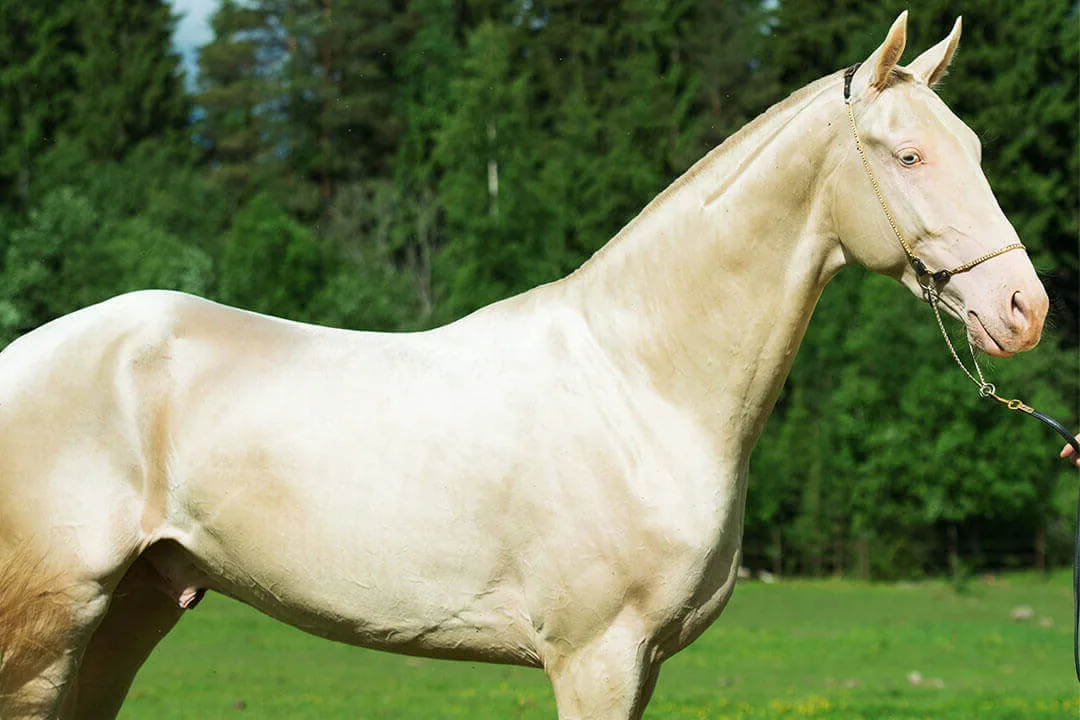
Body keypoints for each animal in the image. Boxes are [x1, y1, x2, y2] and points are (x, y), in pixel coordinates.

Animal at [0, 12, 1049, 719]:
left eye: (975, 146)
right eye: (907, 155)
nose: (1023, 309)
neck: (643, 384)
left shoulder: (643, 663)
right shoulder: (596, 657)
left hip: (131, 614)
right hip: (48, 630)